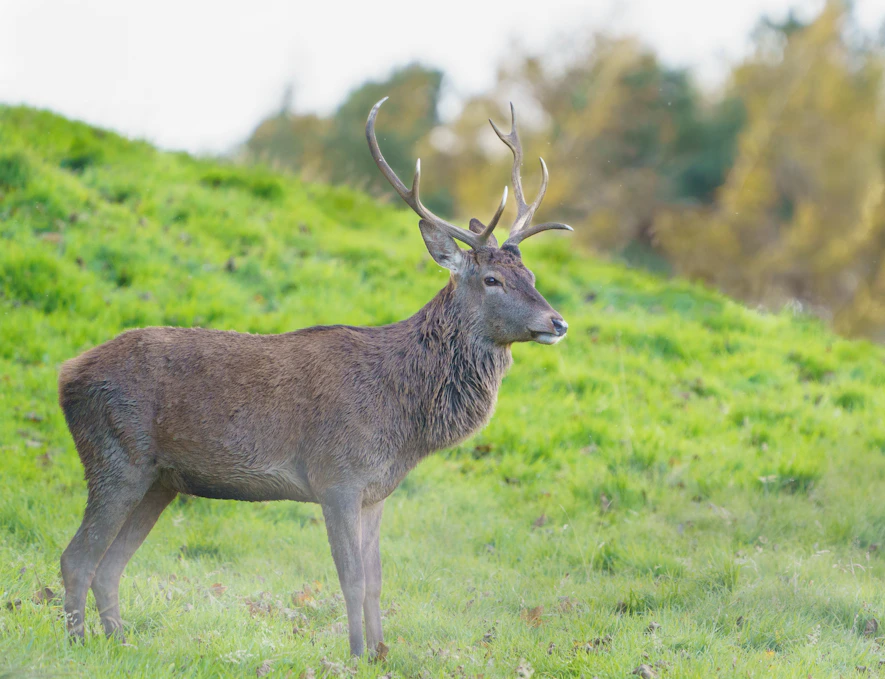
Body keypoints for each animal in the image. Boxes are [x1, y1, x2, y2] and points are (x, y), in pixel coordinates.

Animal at [57, 97, 572, 657]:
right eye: (492, 279)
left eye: (532, 277)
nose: (557, 322)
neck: (405, 423)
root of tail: (66, 374)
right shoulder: (336, 477)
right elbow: (350, 578)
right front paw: (354, 654)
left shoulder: (376, 491)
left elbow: (376, 580)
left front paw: (381, 654)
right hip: (115, 456)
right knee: (76, 558)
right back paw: (78, 645)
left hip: (160, 480)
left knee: (109, 566)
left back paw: (121, 644)